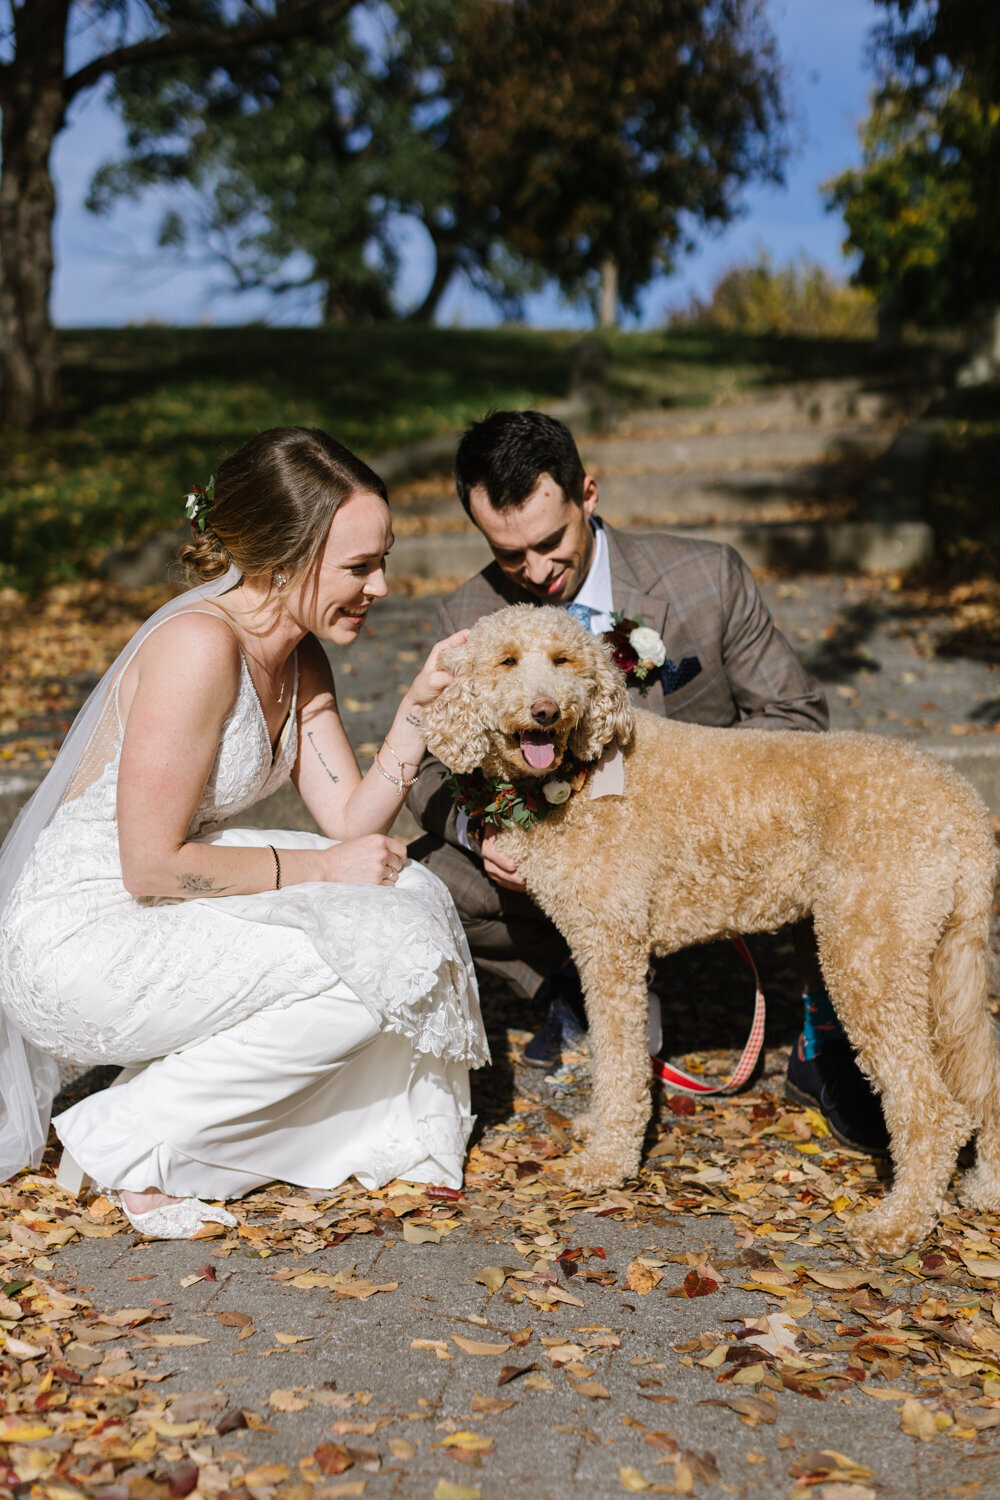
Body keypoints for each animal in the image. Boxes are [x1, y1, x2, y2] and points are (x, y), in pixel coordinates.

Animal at [422, 600, 1000, 1254]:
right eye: (507, 661)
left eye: (563, 660)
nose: (546, 710)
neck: (577, 774)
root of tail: (964, 806)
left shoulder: (610, 945)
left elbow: (620, 1061)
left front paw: (607, 1162)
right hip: (942, 956)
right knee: (984, 1077)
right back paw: (985, 1190)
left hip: (868, 950)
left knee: (933, 1110)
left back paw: (897, 1223)